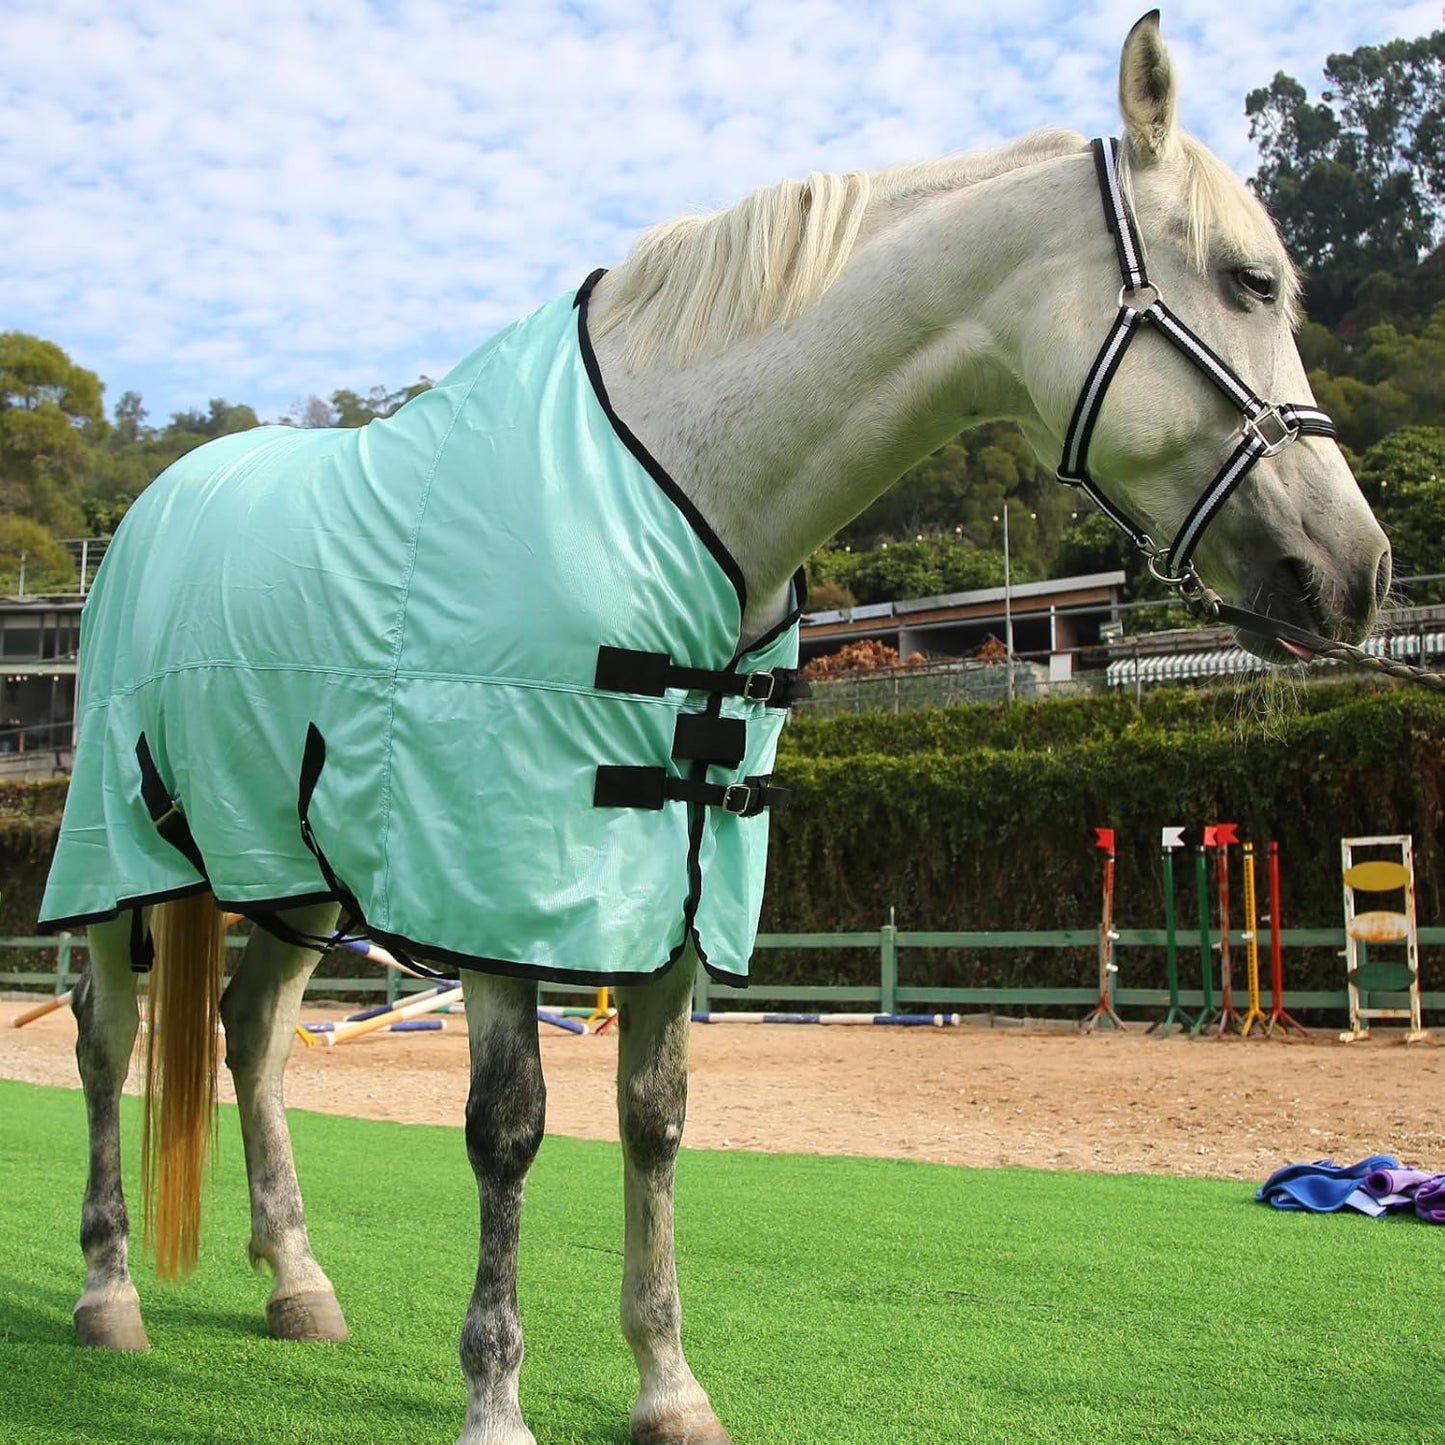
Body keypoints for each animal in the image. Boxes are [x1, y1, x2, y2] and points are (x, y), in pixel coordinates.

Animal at [47, 14, 1388, 1444]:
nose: (1353, 573)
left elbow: (656, 1119)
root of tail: (142, 519)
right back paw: (108, 1293)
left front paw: (667, 1382)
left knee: (248, 1032)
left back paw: (296, 1278)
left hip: (293, 864)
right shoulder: (501, 880)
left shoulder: (676, 874)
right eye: (1249, 280)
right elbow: (507, 1126)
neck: (686, 488)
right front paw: (494, 1395)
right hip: (127, 854)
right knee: (106, 1036)